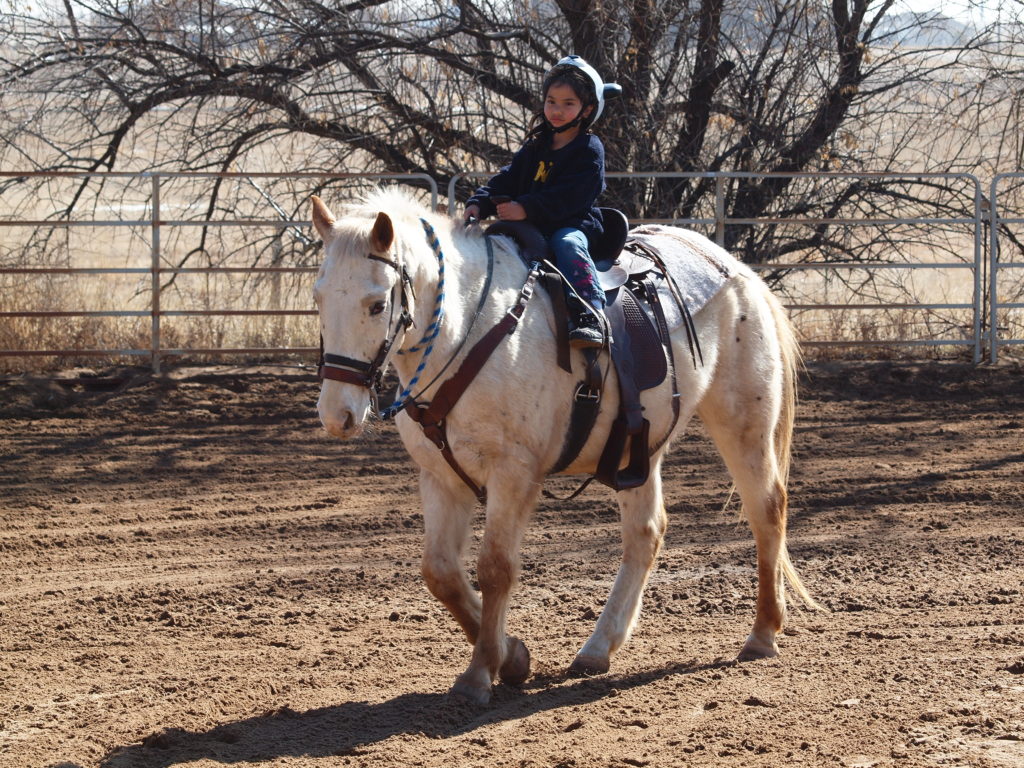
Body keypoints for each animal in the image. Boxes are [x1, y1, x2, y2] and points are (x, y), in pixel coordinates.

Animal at [311, 188, 816, 705]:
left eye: (376, 304)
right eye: (318, 297)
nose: (336, 415)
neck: (470, 331)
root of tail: (737, 269)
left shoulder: (513, 475)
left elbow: (495, 568)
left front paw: (480, 673)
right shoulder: (441, 477)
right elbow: (441, 573)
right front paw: (512, 657)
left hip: (743, 424)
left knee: (766, 511)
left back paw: (762, 634)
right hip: (640, 447)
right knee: (646, 533)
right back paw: (598, 647)